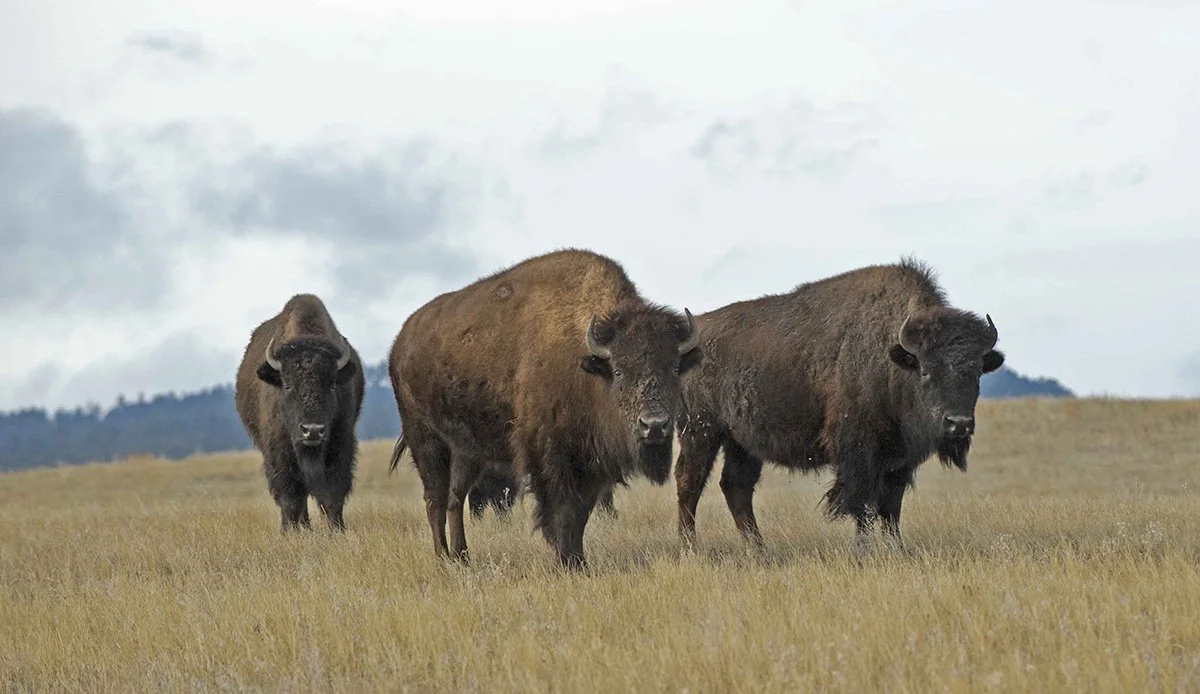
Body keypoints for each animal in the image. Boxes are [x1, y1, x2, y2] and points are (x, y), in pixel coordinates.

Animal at [235, 294, 364, 531]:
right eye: (287, 385)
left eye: (332, 385)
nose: (312, 431)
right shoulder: (280, 451)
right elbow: (291, 497)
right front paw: (290, 532)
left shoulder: (340, 443)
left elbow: (333, 495)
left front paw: (338, 531)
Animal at [387, 249, 701, 568]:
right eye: (619, 370)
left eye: (674, 367)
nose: (654, 425)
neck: (585, 363)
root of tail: (399, 344)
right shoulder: (549, 456)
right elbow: (561, 511)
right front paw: (566, 562)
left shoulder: (590, 464)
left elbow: (580, 515)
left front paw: (578, 561)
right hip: (426, 440)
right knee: (435, 500)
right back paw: (443, 560)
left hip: (466, 452)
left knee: (455, 498)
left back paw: (462, 558)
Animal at [675, 259, 1004, 553]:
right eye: (925, 370)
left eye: (977, 371)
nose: (959, 423)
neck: (893, 359)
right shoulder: (858, 451)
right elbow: (862, 503)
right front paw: (863, 550)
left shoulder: (899, 459)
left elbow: (891, 507)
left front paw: (897, 549)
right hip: (701, 431)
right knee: (689, 481)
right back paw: (691, 548)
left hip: (741, 443)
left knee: (736, 486)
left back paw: (759, 550)